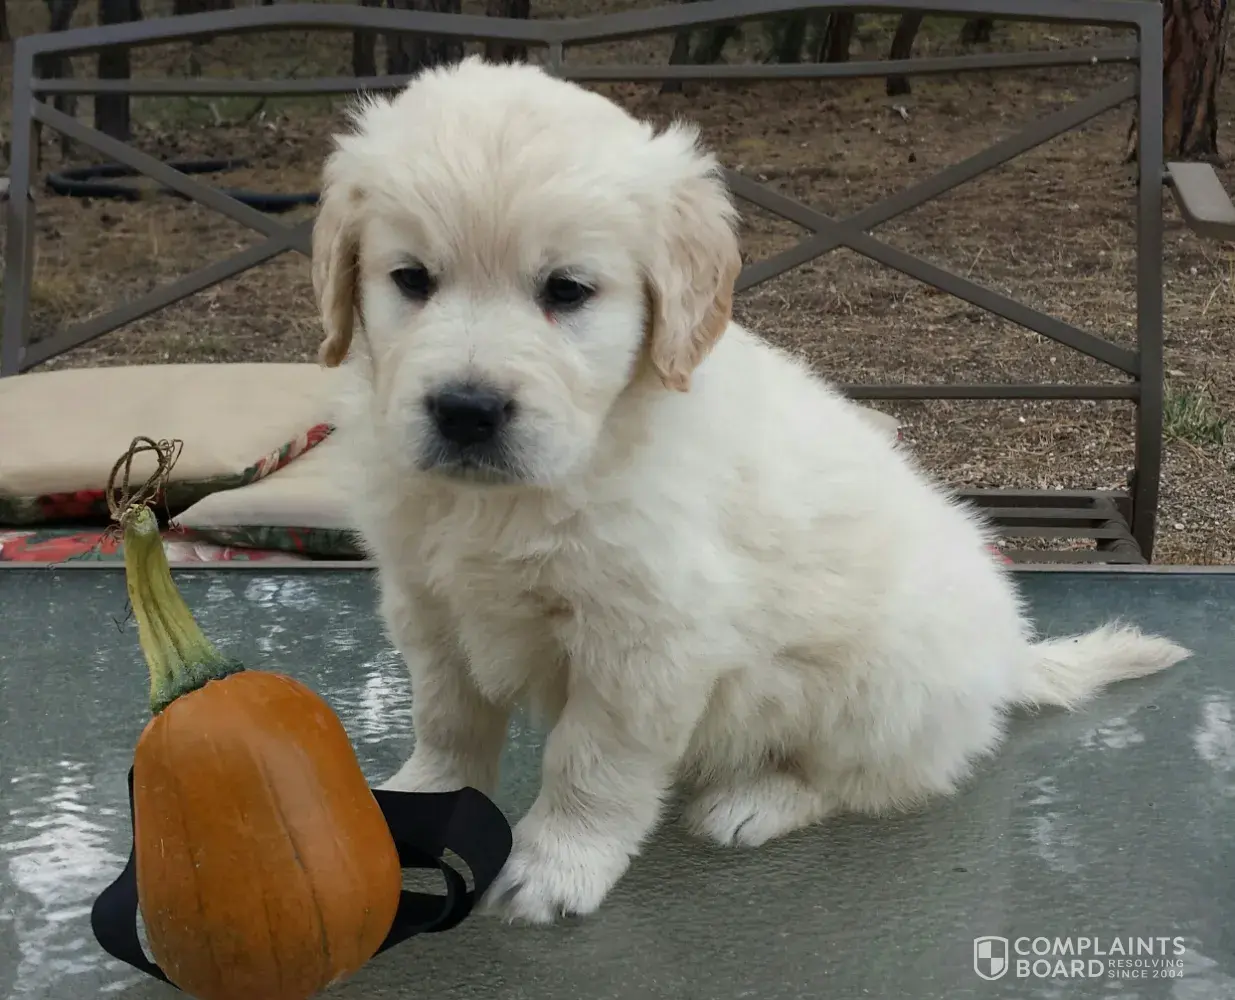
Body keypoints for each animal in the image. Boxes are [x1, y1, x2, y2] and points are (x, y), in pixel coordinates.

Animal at [311, 56, 1190, 925]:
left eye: (566, 291)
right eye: (411, 279)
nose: (466, 410)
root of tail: (1007, 658)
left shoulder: (646, 638)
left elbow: (592, 758)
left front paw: (557, 863)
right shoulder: (427, 602)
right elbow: (446, 719)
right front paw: (422, 802)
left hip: (878, 686)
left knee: (864, 779)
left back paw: (755, 802)